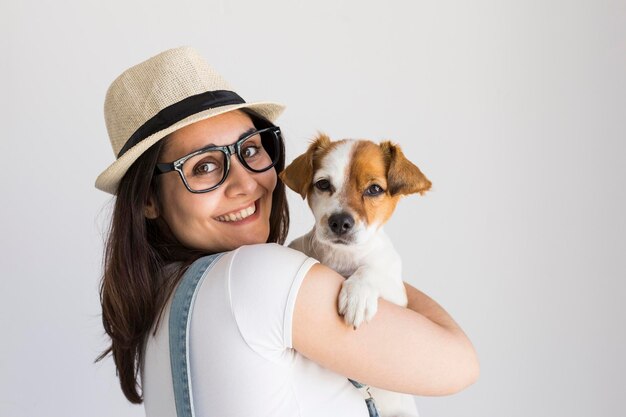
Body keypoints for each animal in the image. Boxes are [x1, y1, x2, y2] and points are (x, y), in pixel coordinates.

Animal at [280, 133, 432, 416]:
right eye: (323, 184)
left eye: (374, 189)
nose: (340, 222)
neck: (341, 258)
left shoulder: (396, 291)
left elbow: (371, 269)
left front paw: (357, 295)